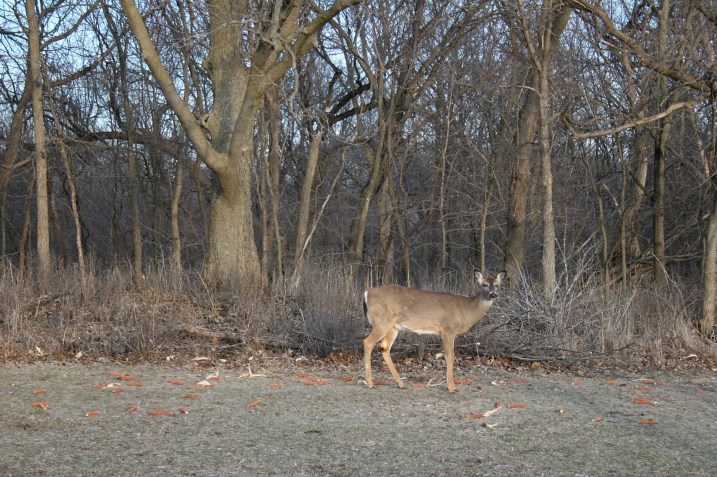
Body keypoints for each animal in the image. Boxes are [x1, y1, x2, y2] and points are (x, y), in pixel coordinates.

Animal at [362, 270, 505, 393]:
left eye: (497, 285)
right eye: (484, 284)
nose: (493, 294)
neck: (466, 311)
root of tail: (367, 293)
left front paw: (452, 386)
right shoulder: (447, 330)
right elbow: (450, 356)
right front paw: (451, 387)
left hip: (393, 327)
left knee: (384, 348)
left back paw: (400, 383)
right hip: (382, 321)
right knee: (368, 342)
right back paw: (370, 383)